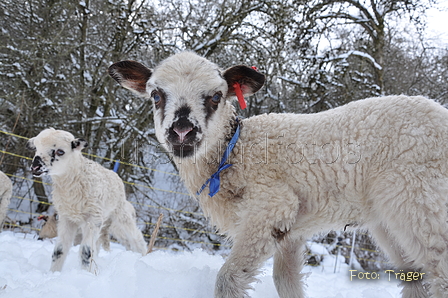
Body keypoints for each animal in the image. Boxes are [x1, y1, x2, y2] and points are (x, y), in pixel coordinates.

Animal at [27, 129, 147, 272]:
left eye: (60, 151)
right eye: (36, 148)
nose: (35, 167)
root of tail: (114, 174)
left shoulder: (93, 219)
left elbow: (86, 251)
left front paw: (85, 273)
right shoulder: (66, 219)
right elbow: (59, 250)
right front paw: (53, 272)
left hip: (119, 212)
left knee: (135, 236)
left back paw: (142, 256)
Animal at [108, 51, 448, 298]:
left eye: (216, 96)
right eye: (156, 95)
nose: (182, 131)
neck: (233, 151)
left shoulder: (272, 206)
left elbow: (228, 279)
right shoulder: (290, 232)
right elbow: (285, 282)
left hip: (420, 199)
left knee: (440, 270)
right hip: (390, 220)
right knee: (415, 278)